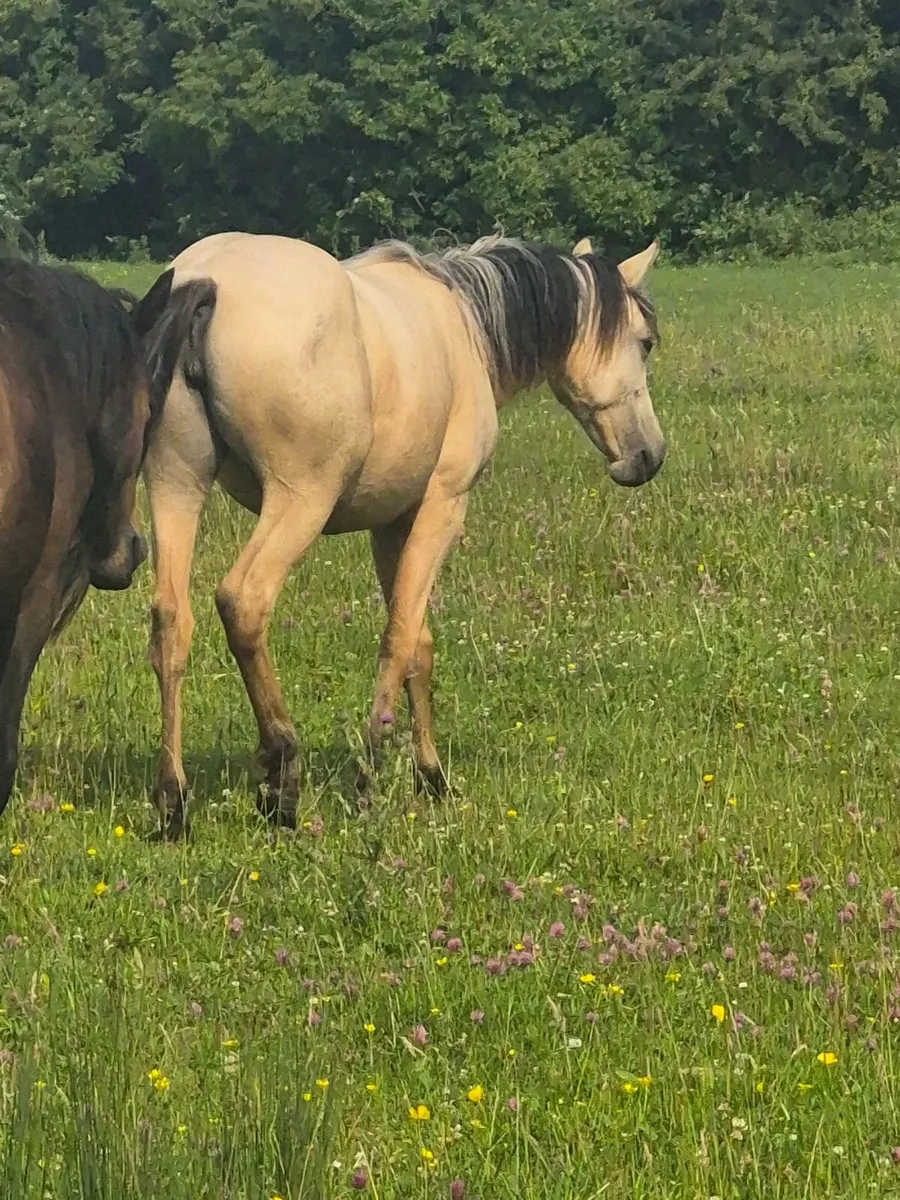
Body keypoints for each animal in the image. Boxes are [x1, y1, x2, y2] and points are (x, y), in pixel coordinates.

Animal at [140, 231, 666, 838]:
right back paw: (281, 773)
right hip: (300, 499)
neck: (465, 324)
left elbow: (419, 645)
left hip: (175, 485)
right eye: (645, 342)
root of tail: (205, 279)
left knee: (171, 621)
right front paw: (372, 776)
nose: (648, 457)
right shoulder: (441, 507)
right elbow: (399, 636)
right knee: (244, 601)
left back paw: (173, 802)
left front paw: (432, 777)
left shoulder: (392, 524)